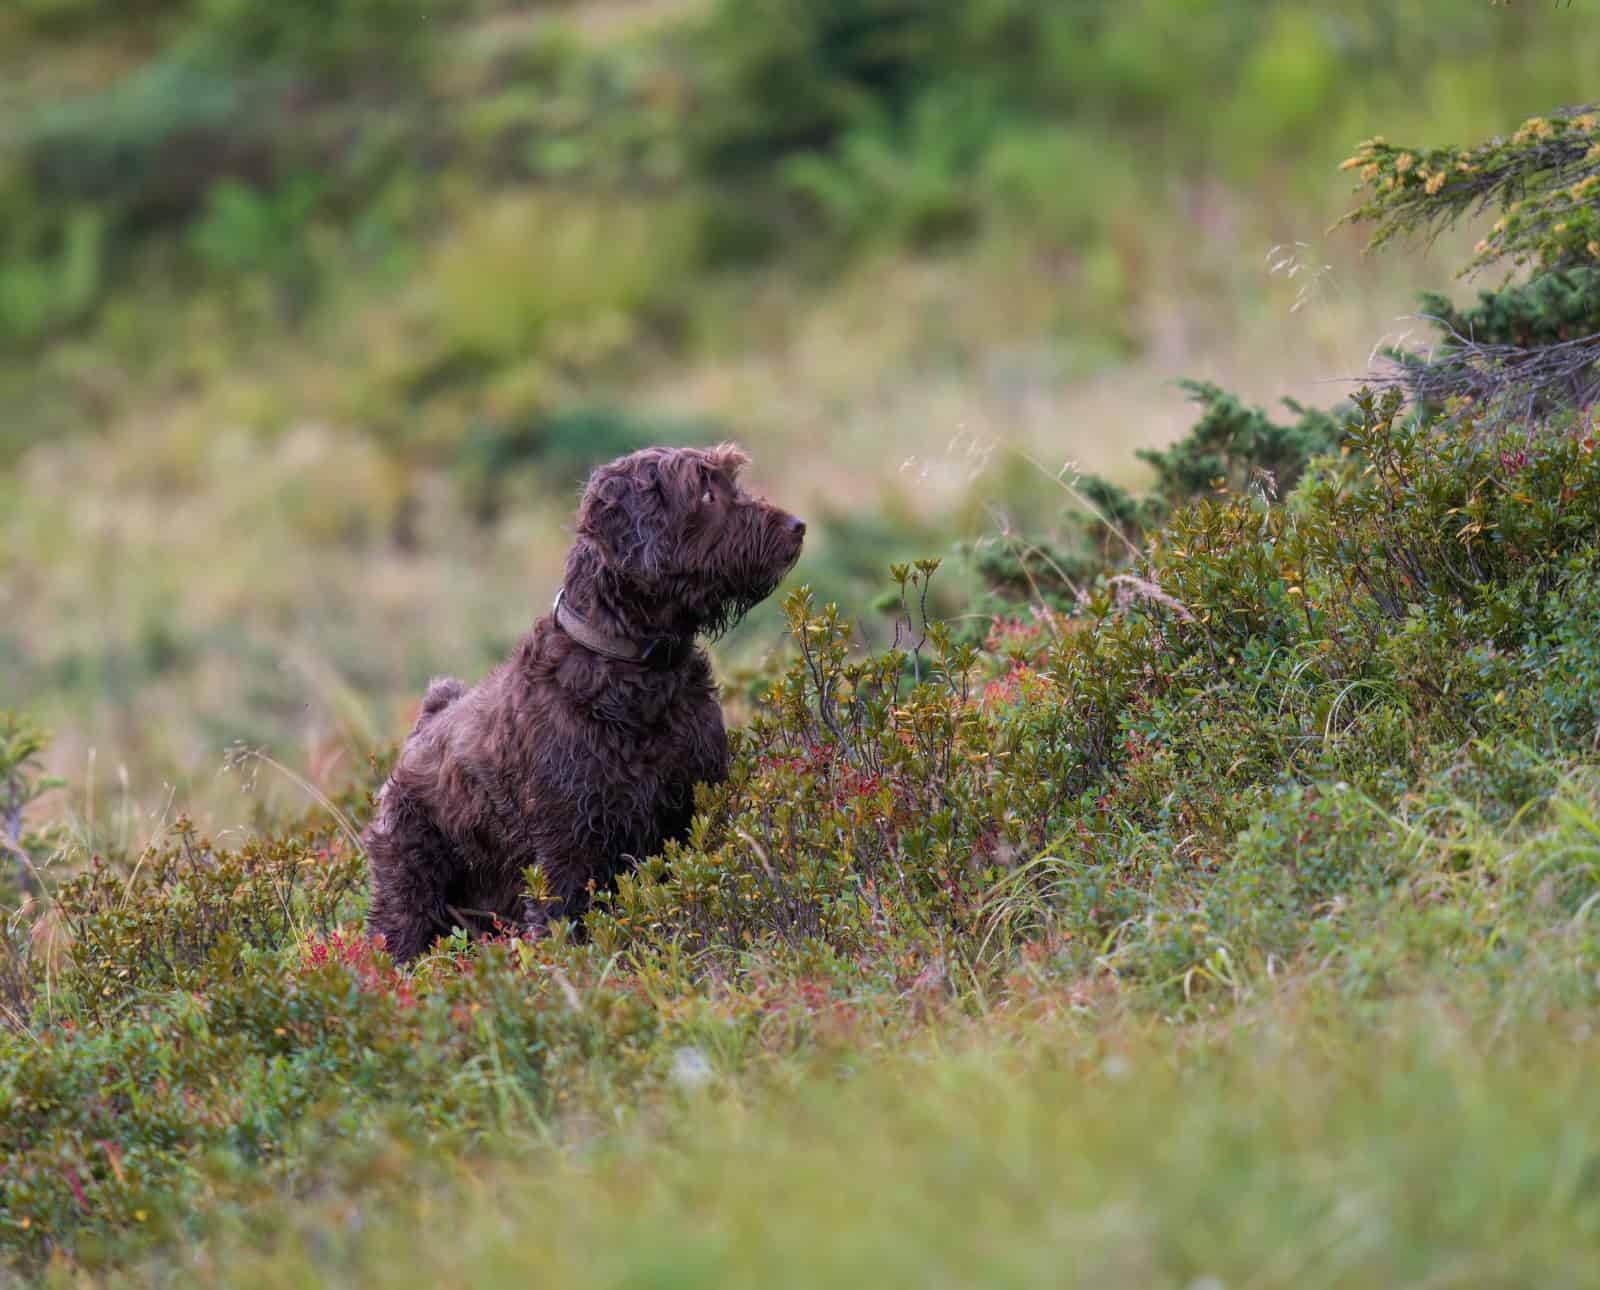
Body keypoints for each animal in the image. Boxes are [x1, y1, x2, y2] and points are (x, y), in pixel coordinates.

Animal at [368, 444, 806, 960]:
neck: (635, 674)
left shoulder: (685, 818)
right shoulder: (568, 848)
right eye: (704, 492)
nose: (797, 526)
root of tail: (422, 728)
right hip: (409, 895)